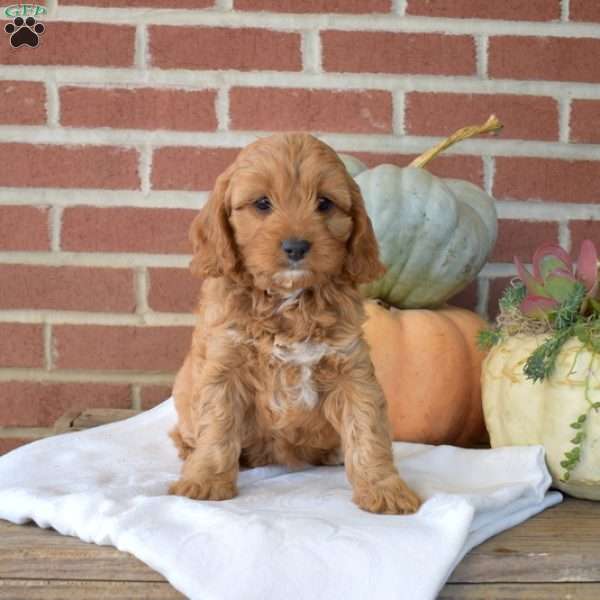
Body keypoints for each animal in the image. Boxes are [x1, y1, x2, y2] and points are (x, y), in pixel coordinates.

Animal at [168, 132, 422, 516]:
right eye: (262, 203)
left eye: (324, 203)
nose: (296, 247)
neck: (289, 302)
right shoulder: (225, 364)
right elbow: (217, 425)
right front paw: (206, 481)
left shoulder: (352, 369)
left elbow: (368, 429)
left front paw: (383, 488)